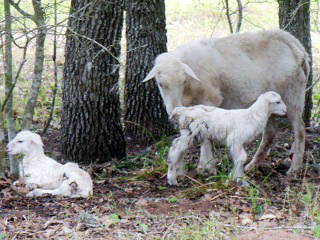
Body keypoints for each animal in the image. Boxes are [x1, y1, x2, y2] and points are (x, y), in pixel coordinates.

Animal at [144, 29, 310, 176]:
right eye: (160, 84)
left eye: (183, 81)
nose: (173, 109)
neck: (187, 92)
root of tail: (295, 44)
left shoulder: (210, 99)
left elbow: (206, 137)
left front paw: (207, 167)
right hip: (270, 104)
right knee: (270, 132)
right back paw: (253, 165)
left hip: (291, 94)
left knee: (300, 129)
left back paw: (295, 168)